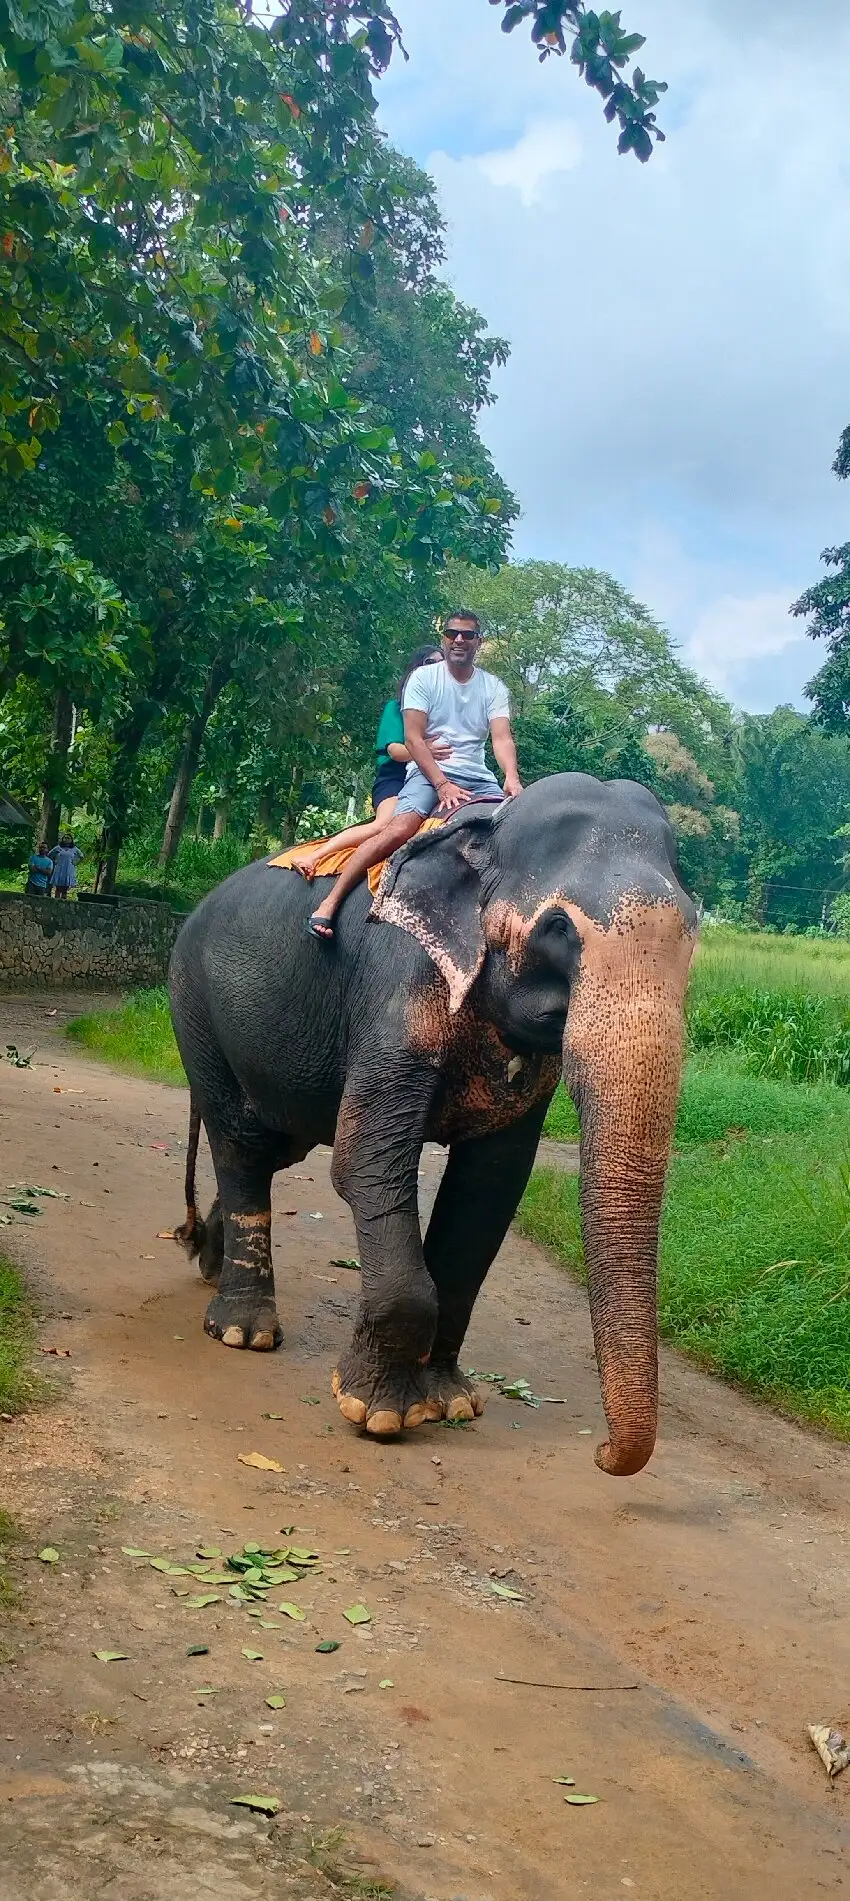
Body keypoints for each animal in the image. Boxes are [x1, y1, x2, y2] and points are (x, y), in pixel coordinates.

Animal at [168, 772, 697, 1477]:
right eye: (559, 928)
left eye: (694, 930)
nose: (604, 1453)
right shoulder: (397, 982)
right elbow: (367, 1160)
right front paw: (377, 1412)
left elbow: (489, 1189)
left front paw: (452, 1403)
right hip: (194, 1006)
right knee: (243, 1143)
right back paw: (242, 1333)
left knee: (276, 1144)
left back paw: (208, 1262)